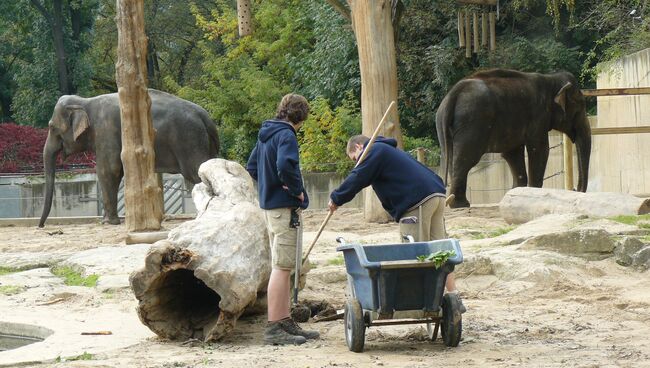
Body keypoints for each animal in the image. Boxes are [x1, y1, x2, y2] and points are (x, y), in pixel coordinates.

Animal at [39, 89, 219, 227]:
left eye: (52, 127)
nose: (41, 226)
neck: (85, 101)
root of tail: (205, 116)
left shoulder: (106, 130)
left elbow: (108, 170)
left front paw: (107, 222)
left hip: (189, 139)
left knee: (196, 172)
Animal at [432, 69, 588, 207]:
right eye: (579, 107)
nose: (576, 189)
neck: (551, 78)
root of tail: (453, 93)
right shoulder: (539, 116)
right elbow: (539, 150)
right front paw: (532, 192)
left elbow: (512, 154)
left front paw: (516, 193)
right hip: (473, 122)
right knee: (466, 159)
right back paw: (460, 204)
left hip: (442, 123)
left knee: (448, 157)